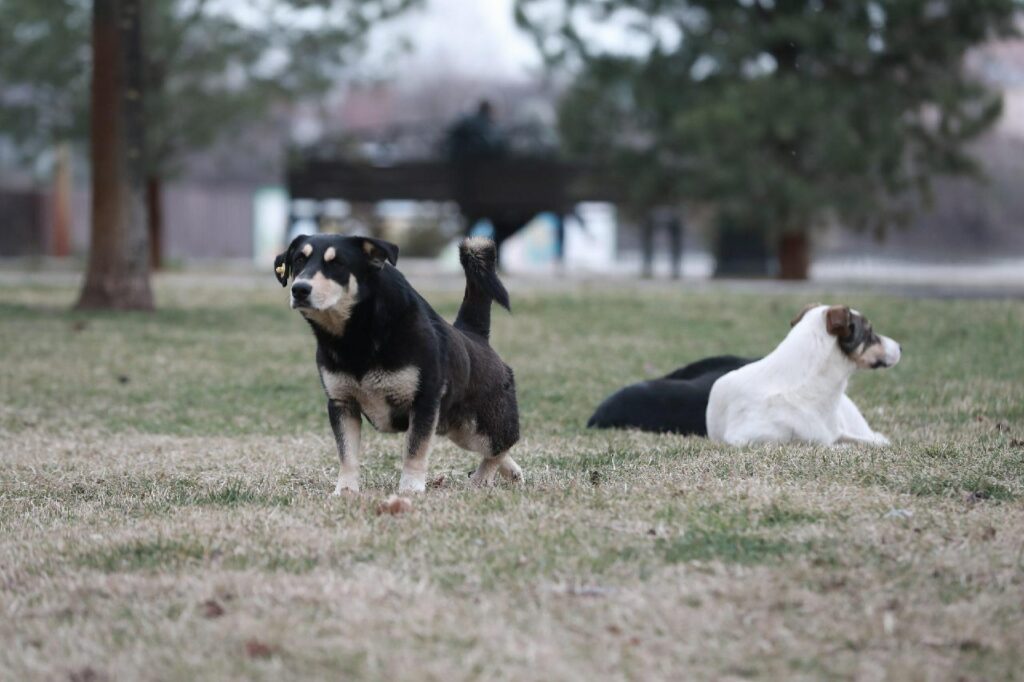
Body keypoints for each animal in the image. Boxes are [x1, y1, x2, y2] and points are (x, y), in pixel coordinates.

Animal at [274, 233, 520, 489]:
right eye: (299, 260)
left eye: (337, 263)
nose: (299, 289)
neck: (356, 336)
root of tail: (474, 336)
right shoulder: (342, 402)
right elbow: (346, 453)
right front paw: (345, 490)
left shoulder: (424, 401)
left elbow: (415, 450)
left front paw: (410, 488)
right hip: (458, 427)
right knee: (498, 449)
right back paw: (510, 473)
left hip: (481, 425)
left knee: (503, 444)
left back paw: (481, 479)